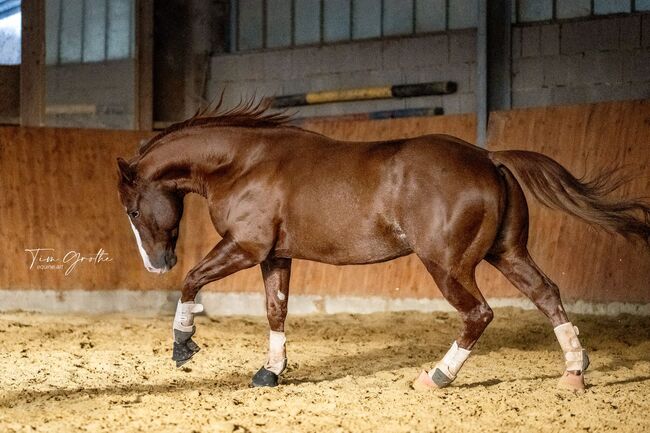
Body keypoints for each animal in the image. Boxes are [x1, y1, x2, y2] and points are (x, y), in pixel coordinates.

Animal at [117, 100, 648, 388]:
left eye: (133, 211)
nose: (157, 265)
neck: (243, 163)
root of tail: (488, 157)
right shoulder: (275, 255)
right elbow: (276, 311)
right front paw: (271, 372)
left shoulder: (245, 247)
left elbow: (193, 281)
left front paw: (183, 345)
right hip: (508, 254)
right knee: (546, 295)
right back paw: (575, 371)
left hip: (448, 265)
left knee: (478, 314)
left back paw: (437, 377)